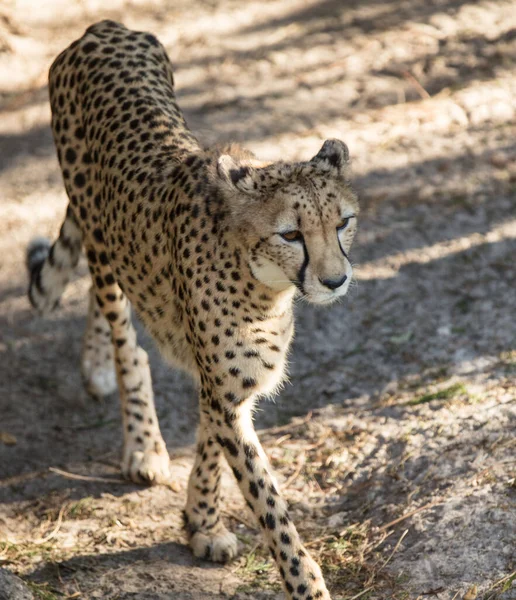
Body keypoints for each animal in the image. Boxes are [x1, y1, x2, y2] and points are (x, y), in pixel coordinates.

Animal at [27, 21, 358, 600]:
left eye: (342, 223)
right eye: (291, 234)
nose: (334, 280)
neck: (263, 283)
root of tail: (103, 28)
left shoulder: (230, 384)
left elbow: (210, 443)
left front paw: (201, 522)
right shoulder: (225, 386)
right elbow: (268, 503)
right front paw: (306, 584)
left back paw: (94, 368)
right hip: (95, 220)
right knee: (123, 332)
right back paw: (143, 446)